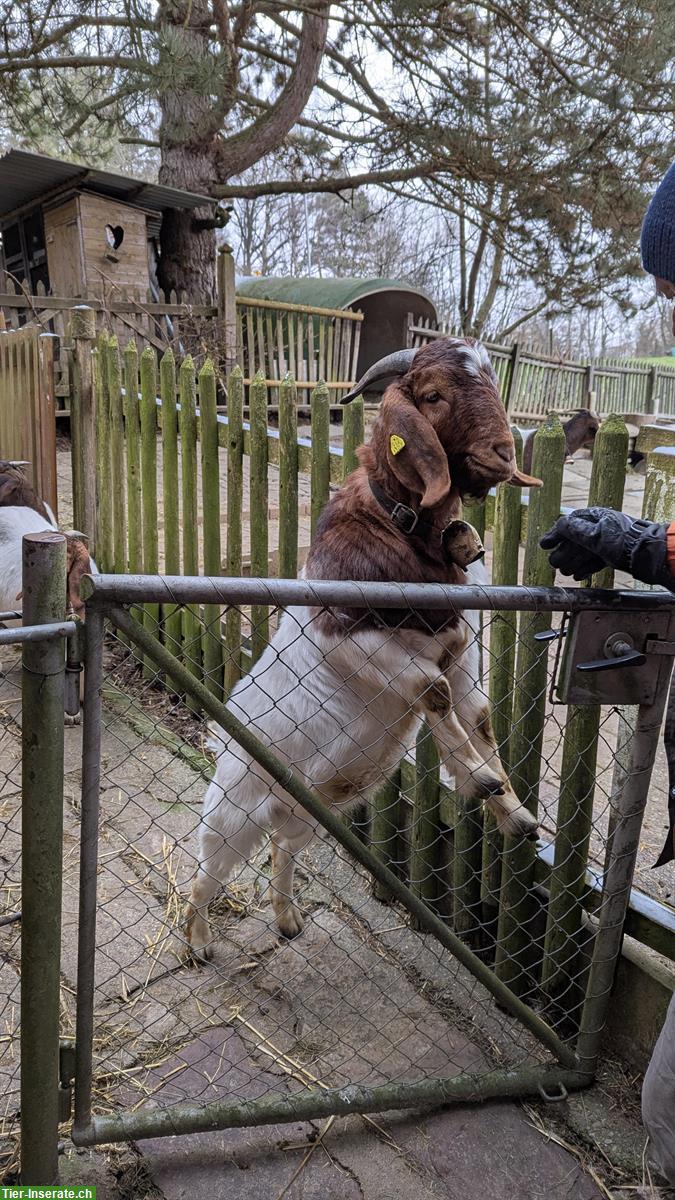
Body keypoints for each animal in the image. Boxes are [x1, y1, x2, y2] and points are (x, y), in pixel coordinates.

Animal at [184, 336, 540, 955]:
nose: (502, 453)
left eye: (493, 382)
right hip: (232, 812)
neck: (404, 533)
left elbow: (477, 717)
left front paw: (514, 814)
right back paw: (200, 940)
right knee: (206, 870)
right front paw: (479, 780)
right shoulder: (353, 638)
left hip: (308, 815)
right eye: (433, 394)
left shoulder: (463, 646)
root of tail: (223, 742)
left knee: (282, 849)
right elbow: (434, 691)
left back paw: (287, 919)